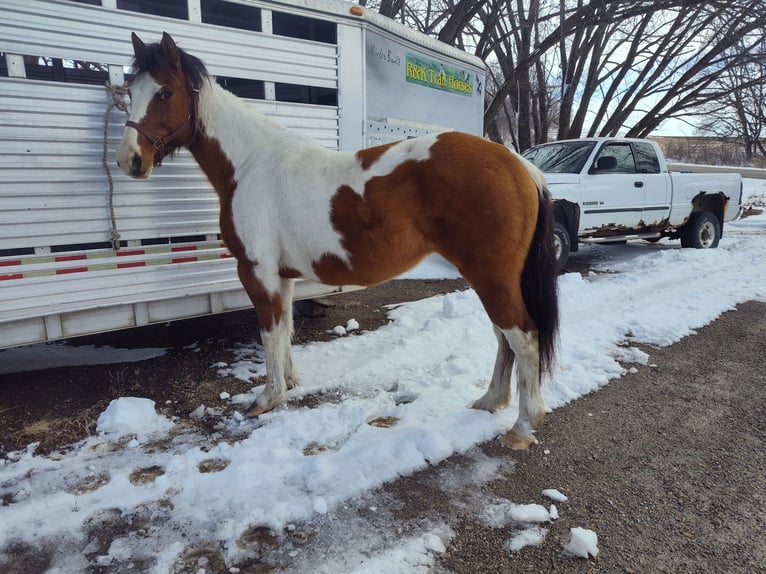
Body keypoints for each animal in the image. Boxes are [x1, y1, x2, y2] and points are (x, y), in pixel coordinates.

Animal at [117, 33, 560, 452]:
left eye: (164, 92)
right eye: (129, 89)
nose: (129, 161)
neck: (250, 164)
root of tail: (520, 165)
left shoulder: (257, 272)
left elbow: (268, 332)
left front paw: (268, 397)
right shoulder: (283, 276)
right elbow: (286, 327)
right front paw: (291, 383)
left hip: (492, 277)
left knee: (522, 338)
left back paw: (522, 426)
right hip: (490, 277)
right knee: (503, 337)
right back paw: (489, 401)